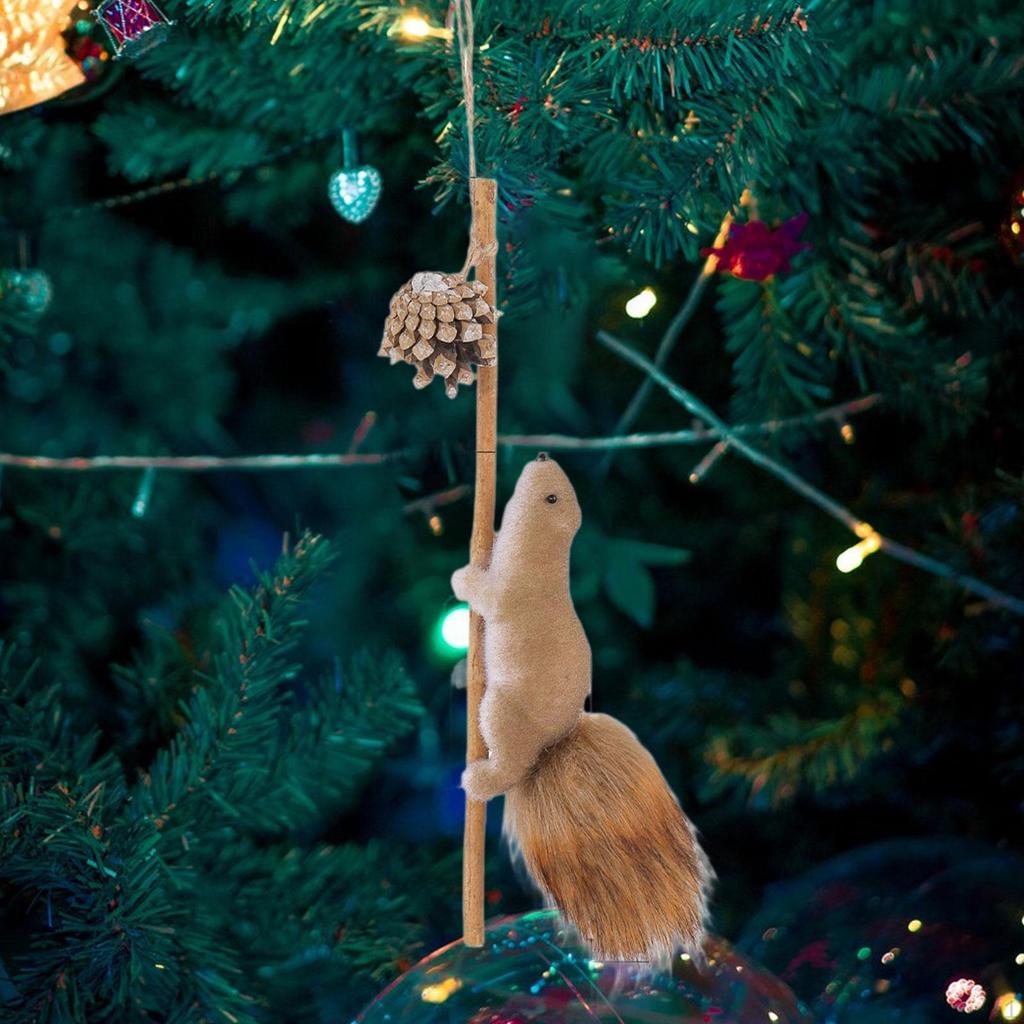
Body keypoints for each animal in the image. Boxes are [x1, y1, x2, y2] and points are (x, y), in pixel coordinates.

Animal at [452, 453, 713, 964]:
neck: (540, 555)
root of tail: (554, 742)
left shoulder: (512, 590)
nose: (542, 455)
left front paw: (464, 576)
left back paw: (480, 779)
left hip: (503, 712)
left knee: (508, 762)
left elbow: (487, 597)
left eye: (553, 497)